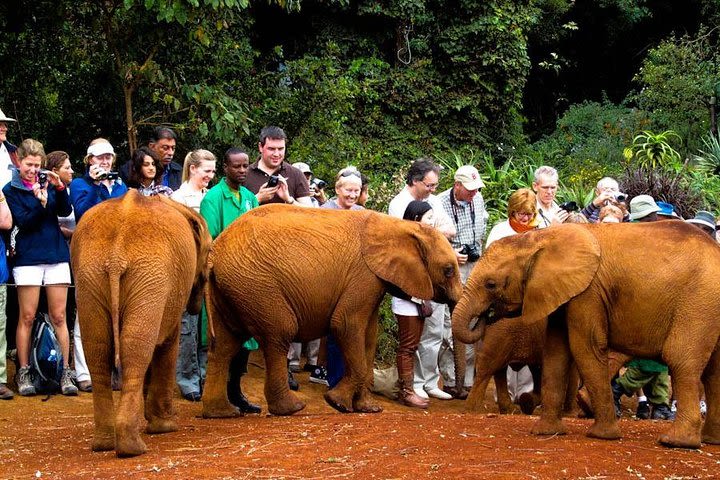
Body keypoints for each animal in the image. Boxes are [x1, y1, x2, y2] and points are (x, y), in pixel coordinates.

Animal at [70, 189, 211, 456]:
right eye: (210, 252)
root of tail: (115, 257)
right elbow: (167, 343)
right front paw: (164, 427)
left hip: (89, 278)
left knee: (99, 350)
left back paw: (105, 443)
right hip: (149, 277)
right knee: (136, 349)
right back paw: (133, 447)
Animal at [200, 204, 464, 418]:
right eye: (449, 270)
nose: (458, 394)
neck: (401, 226)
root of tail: (215, 251)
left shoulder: (373, 282)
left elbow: (369, 336)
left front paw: (368, 409)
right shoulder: (363, 275)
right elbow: (345, 325)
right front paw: (337, 403)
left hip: (233, 288)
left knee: (224, 345)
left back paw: (222, 413)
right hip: (256, 286)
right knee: (279, 334)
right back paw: (291, 409)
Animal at [452, 222, 720, 450]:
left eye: (490, 284)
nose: (486, 316)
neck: (540, 237)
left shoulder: (587, 293)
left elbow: (584, 348)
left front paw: (601, 435)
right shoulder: (566, 292)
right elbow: (557, 352)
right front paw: (546, 432)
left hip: (698, 302)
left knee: (682, 361)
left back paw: (677, 442)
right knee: (711, 371)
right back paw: (707, 440)